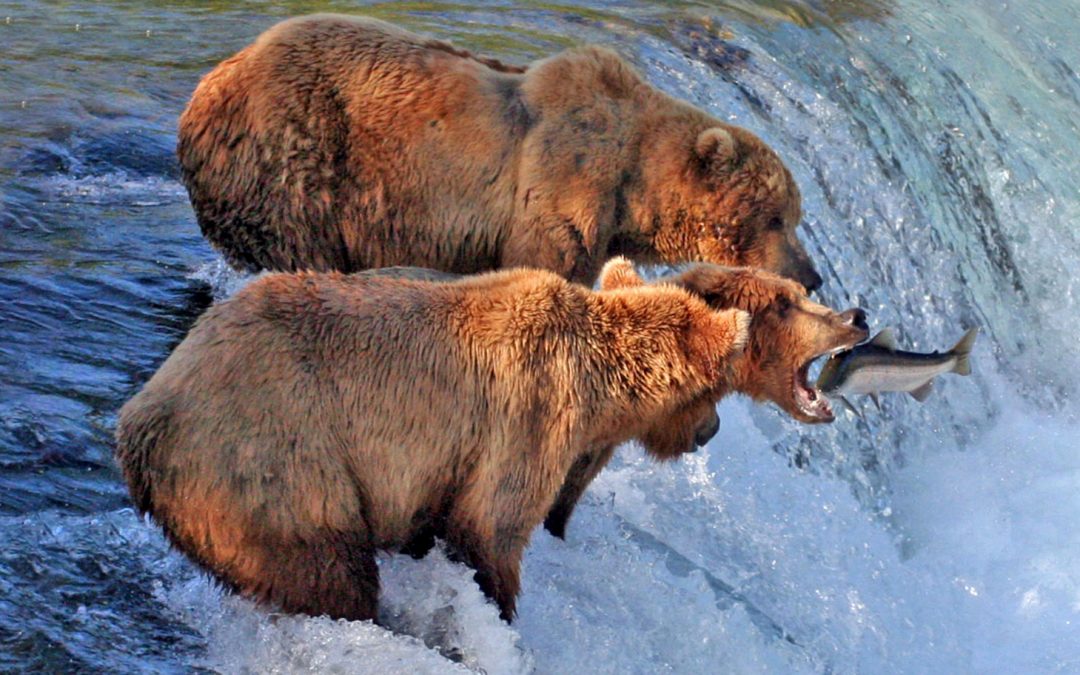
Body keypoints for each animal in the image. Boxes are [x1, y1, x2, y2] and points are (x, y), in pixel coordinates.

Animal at [115, 262, 754, 623]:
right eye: (719, 386)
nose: (712, 430)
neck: (601, 380)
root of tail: (138, 424)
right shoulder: (529, 415)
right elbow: (489, 528)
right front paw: (500, 606)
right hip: (269, 457)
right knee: (327, 568)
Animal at [177, 14, 822, 290]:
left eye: (794, 216)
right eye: (775, 217)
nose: (812, 275)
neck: (632, 188)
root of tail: (212, 80)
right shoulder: (561, 189)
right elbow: (543, 266)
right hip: (292, 155)